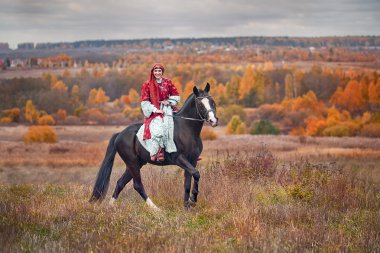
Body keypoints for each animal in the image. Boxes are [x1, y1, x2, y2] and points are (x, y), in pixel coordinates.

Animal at [89, 84, 218, 211]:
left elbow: (188, 182)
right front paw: (193, 199)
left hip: (135, 164)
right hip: (132, 163)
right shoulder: (179, 159)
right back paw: (156, 209)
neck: (187, 129)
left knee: (120, 183)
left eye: (212, 102)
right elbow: (196, 174)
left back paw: (110, 207)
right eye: (200, 104)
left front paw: (187, 207)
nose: (213, 121)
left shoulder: (192, 160)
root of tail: (119, 134)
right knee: (138, 185)